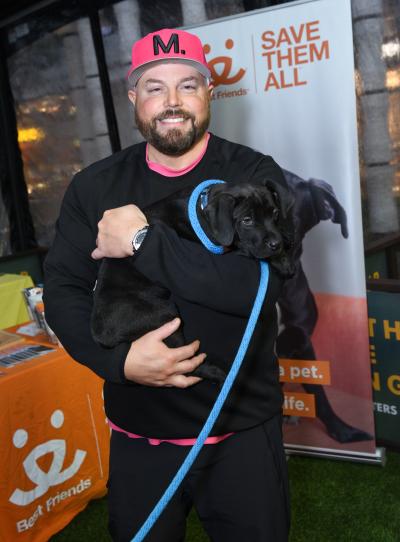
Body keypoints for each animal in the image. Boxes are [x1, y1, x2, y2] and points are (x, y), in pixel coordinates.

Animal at [92, 181, 296, 384]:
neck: (202, 210)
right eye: (247, 220)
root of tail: (102, 335)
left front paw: (285, 238)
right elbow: (247, 249)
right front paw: (282, 261)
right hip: (166, 315)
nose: (276, 244)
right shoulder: (225, 248)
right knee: (182, 365)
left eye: (275, 214)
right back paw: (216, 372)